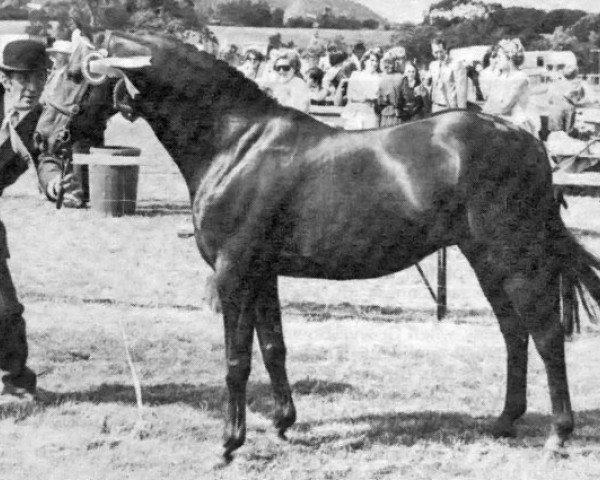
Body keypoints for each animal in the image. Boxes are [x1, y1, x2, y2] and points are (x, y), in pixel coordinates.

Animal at [36, 31, 600, 460]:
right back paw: (504, 421)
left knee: (546, 334)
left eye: (76, 75)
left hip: (515, 255)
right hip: (484, 257)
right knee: (513, 333)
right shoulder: (262, 271)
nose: (43, 139)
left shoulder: (233, 271)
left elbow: (236, 359)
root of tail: (527, 139)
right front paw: (283, 423)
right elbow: (274, 348)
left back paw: (558, 434)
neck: (234, 143)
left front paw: (229, 443)